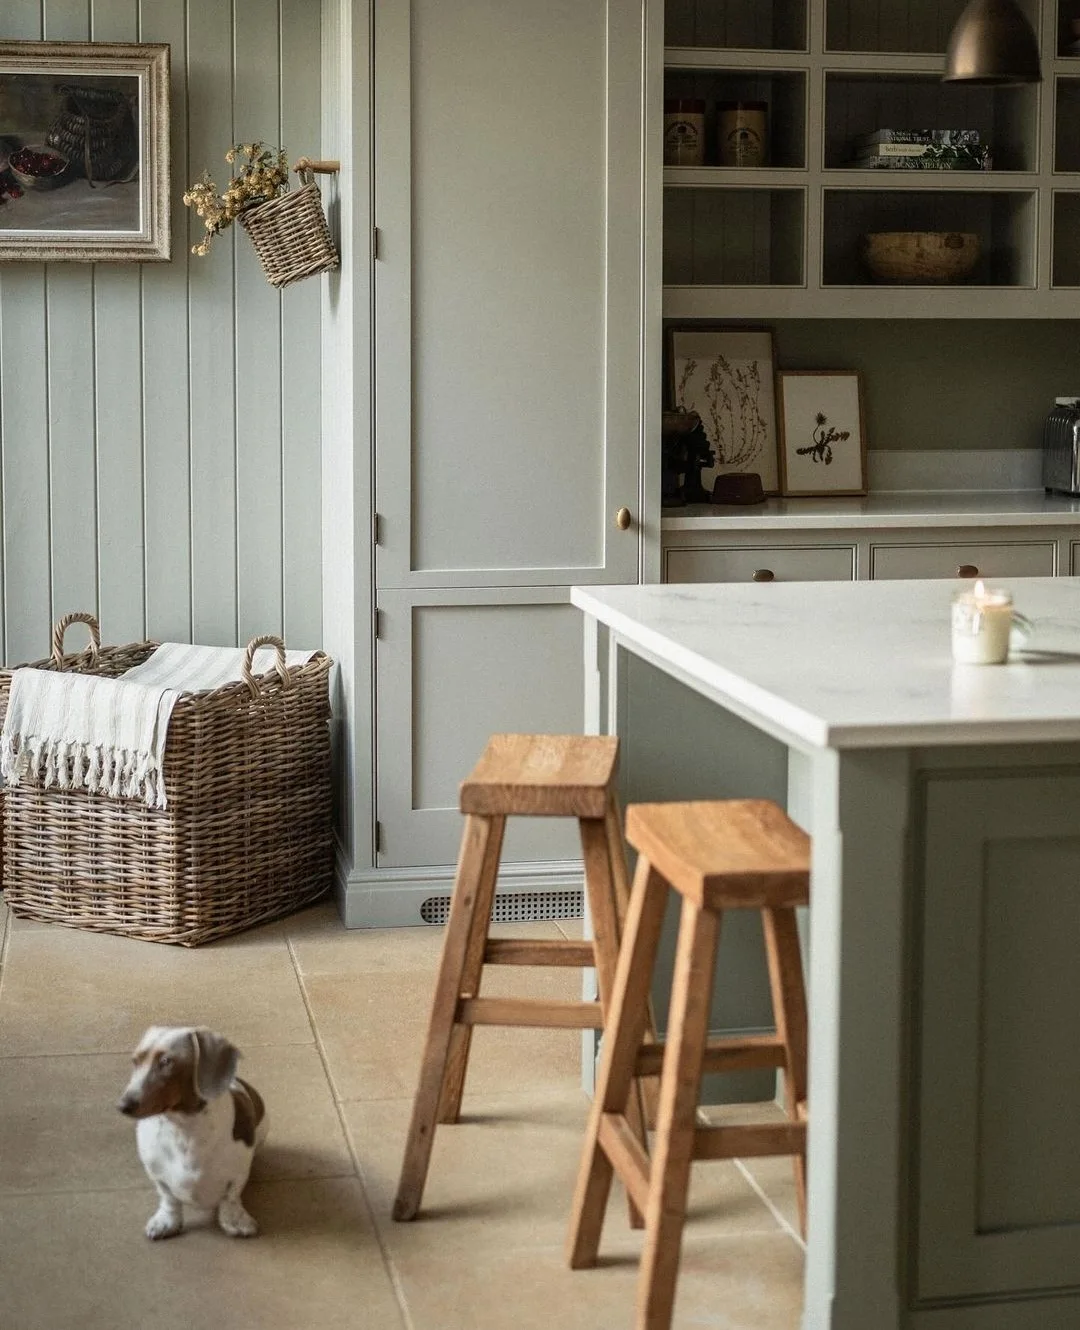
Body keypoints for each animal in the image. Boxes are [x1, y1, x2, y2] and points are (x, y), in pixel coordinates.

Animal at [116, 1026, 270, 1234]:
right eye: (135, 1061)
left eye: (166, 1061)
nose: (123, 1105)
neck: (183, 1128)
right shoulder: (157, 1175)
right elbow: (168, 1198)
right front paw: (166, 1222)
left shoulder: (238, 1173)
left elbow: (231, 1196)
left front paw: (235, 1221)